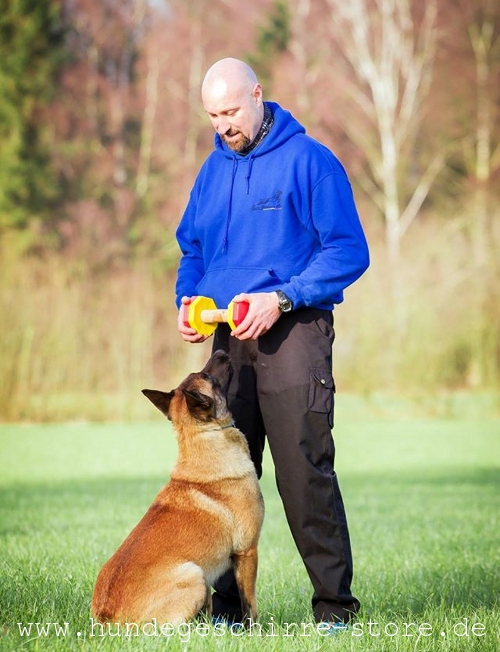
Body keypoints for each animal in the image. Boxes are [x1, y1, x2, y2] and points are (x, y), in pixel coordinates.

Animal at [93, 352, 266, 628]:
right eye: (206, 376)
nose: (221, 353)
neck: (201, 438)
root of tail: (106, 620)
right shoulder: (247, 552)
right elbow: (249, 605)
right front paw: (255, 632)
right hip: (195, 574)